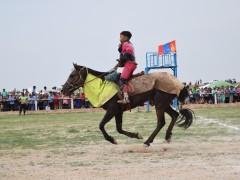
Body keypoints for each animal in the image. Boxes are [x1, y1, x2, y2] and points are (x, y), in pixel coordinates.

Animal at [62, 63, 195, 146]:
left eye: (72, 75)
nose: (63, 89)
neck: (102, 86)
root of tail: (180, 84)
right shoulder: (118, 112)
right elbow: (119, 129)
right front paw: (136, 135)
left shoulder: (112, 110)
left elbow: (101, 125)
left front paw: (112, 140)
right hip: (164, 104)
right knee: (174, 115)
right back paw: (167, 136)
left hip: (160, 104)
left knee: (161, 122)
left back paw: (148, 142)